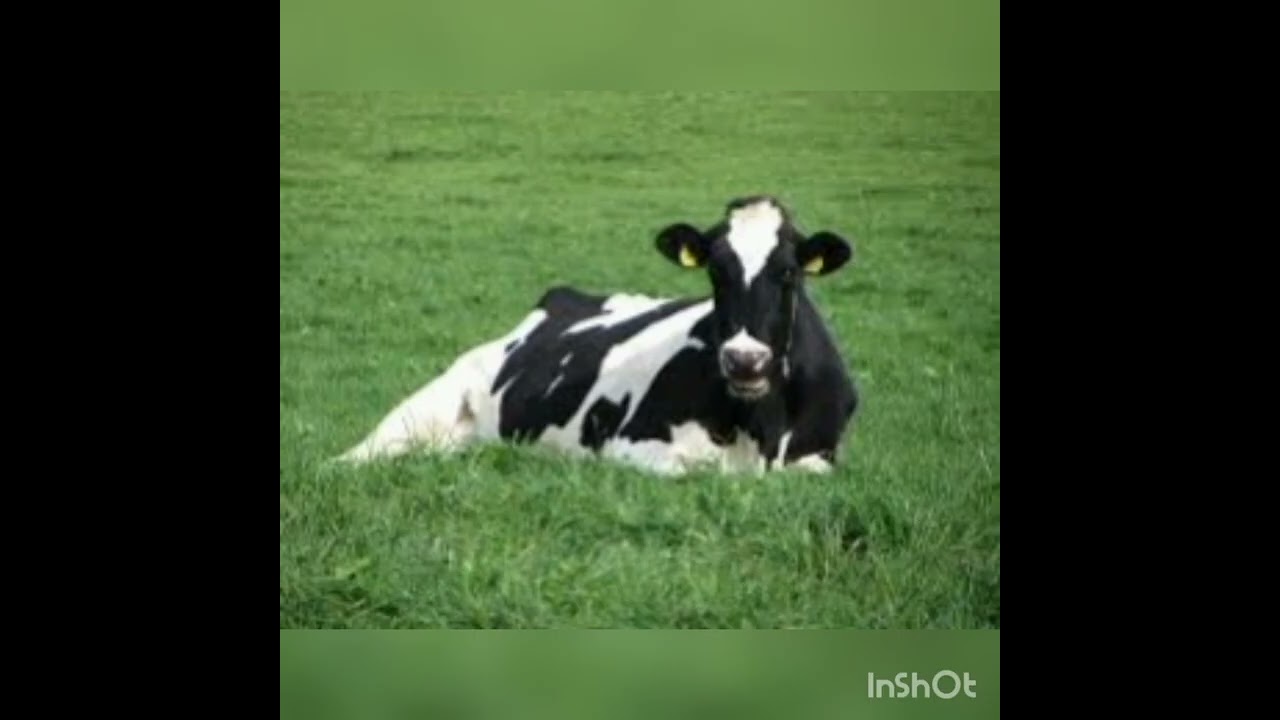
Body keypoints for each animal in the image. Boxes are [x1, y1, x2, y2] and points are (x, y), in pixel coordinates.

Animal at [337, 195, 859, 476]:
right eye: (715, 271)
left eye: (789, 272)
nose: (744, 360)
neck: (760, 427)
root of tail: (559, 299)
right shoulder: (630, 447)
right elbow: (701, 472)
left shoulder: (822, 457)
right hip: (427, 403)